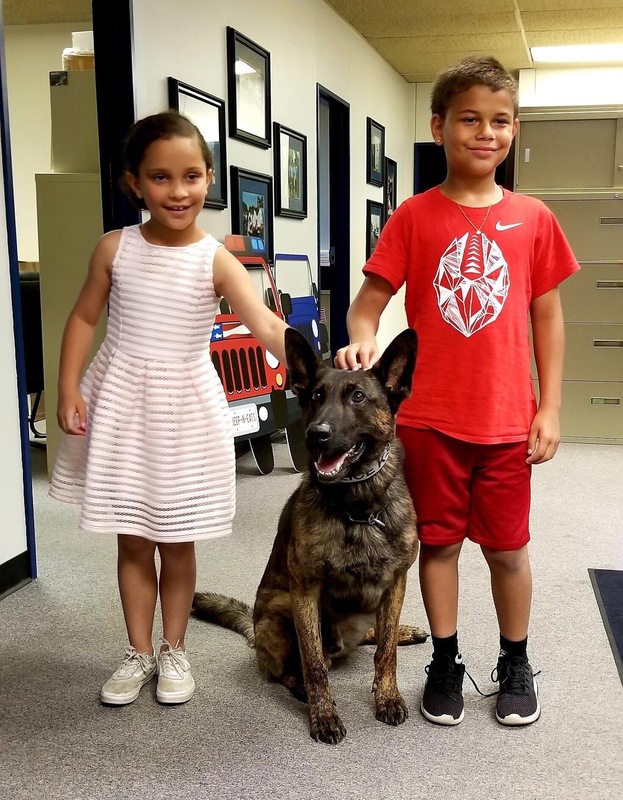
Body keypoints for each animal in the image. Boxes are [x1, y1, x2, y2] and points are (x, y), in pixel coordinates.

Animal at [194, 326, 428, 744]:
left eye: (357, 396)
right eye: (316, 396)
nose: (316, 435)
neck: (359, 508)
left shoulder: (395, 584)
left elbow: (386, 651)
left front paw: (387, 696)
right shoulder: (305, 591)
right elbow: (314, 661)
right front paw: (323, 715)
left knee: (372, 634)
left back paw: (404, 631)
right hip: (278, 614)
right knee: (293, 668)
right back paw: (301, 686)